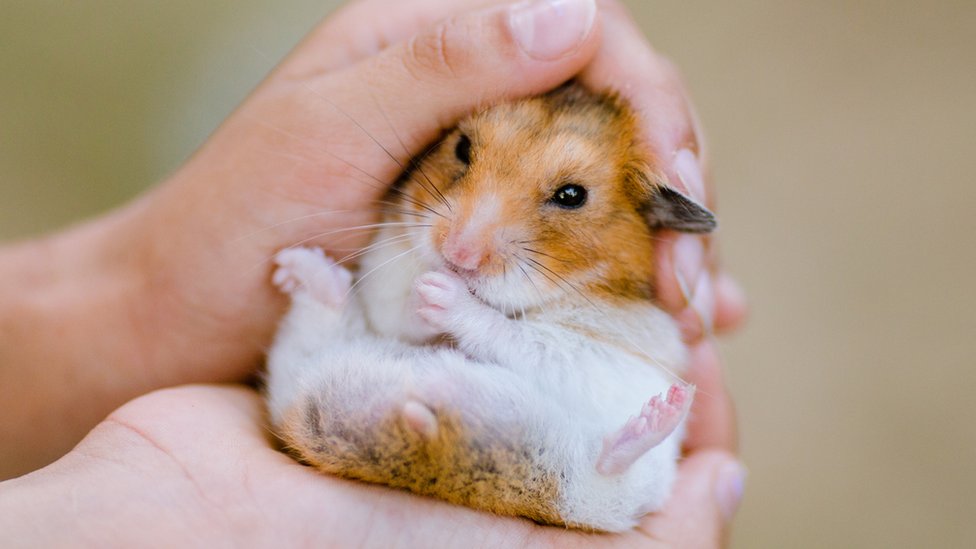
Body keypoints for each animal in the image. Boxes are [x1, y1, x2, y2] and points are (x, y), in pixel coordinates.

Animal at [264, 82, 712, 532]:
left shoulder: (609, 357)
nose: (456, 254)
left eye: (572, 195)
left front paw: (441, 293)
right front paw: (426, 289)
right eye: (462, 147)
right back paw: (299, 269)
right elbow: (397, 312)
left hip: (615, 489)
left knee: (607, 468)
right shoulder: (383, 277)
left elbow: (521, 336)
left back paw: (664, 411)